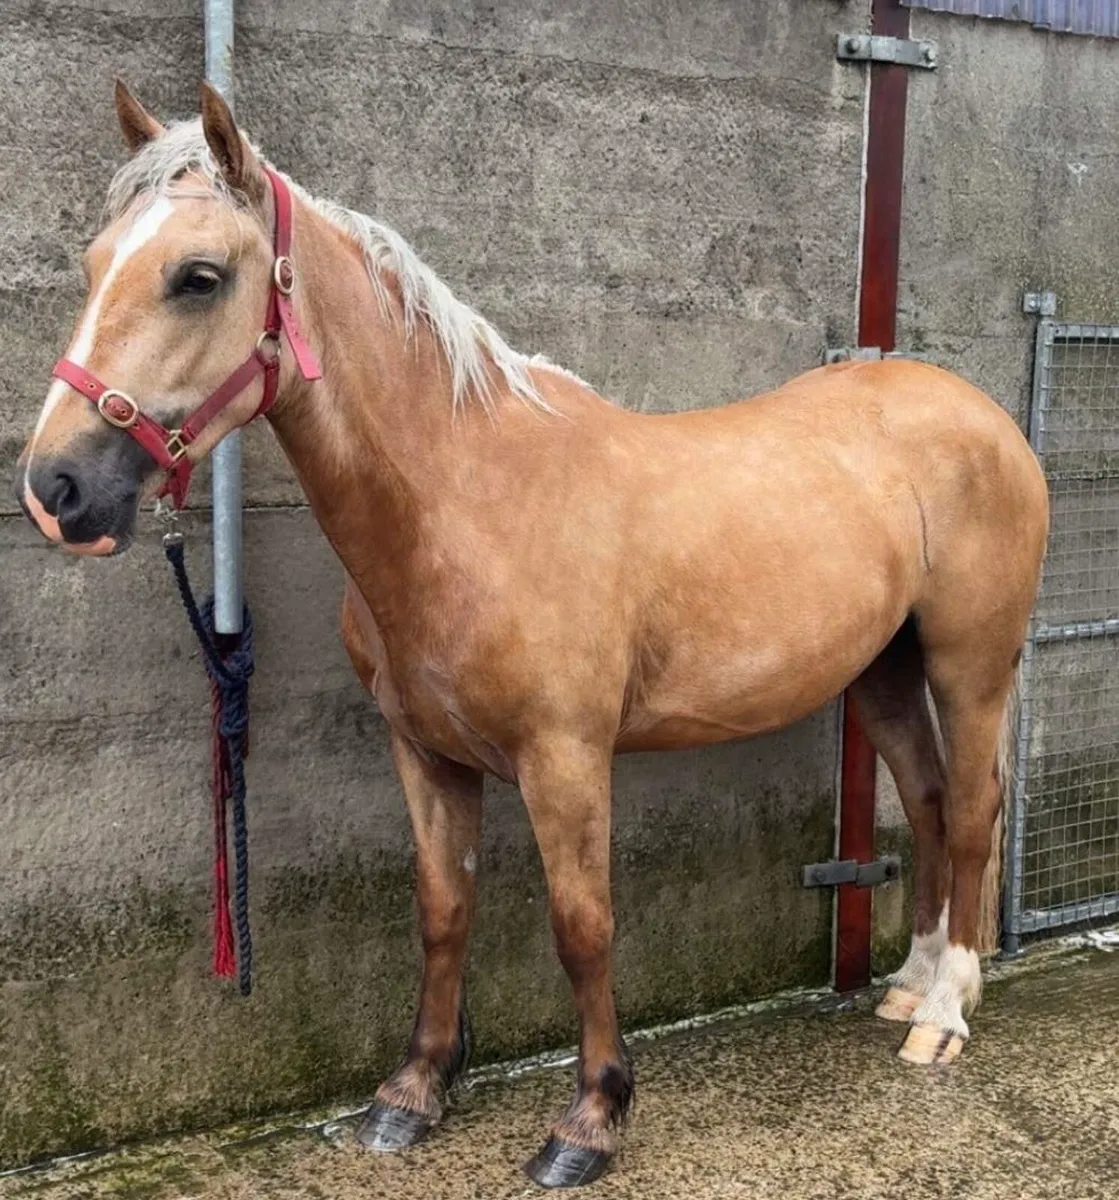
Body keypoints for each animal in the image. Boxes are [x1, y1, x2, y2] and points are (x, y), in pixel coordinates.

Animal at [12, 82, 1049, 1189]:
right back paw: (910, 983)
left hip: (969, 664)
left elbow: (581, 926)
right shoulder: (424, 753)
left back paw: (944, 1013)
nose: (56, 490)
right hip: (883, 670)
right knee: (930, 801)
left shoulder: (565, 757)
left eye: (198, 277)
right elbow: (442, 911)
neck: (465, 500)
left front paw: (590, 1119)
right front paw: (413, 1093)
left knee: (974, 810)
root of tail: (977, 414)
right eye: (92, 263)